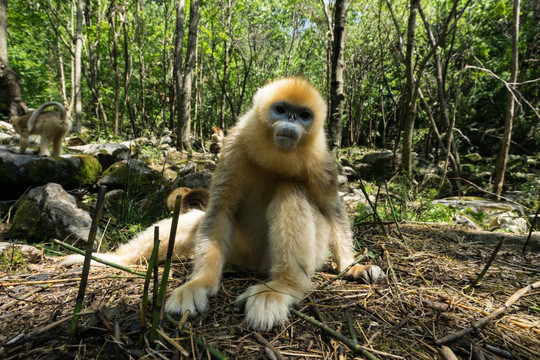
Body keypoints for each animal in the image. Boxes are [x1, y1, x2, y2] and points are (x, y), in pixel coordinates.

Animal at [60, 78, 384, 330]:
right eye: (281, 110)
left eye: (304, 115)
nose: (291, 121)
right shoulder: (234, 145)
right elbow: (220, 209)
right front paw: (198, 284)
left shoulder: (321, 162)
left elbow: (332, 209)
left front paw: (351, 266)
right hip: (236, 248)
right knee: (195, 220)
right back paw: (108, 260)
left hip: (296, 255)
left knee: (290, 189)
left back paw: (282, 287)